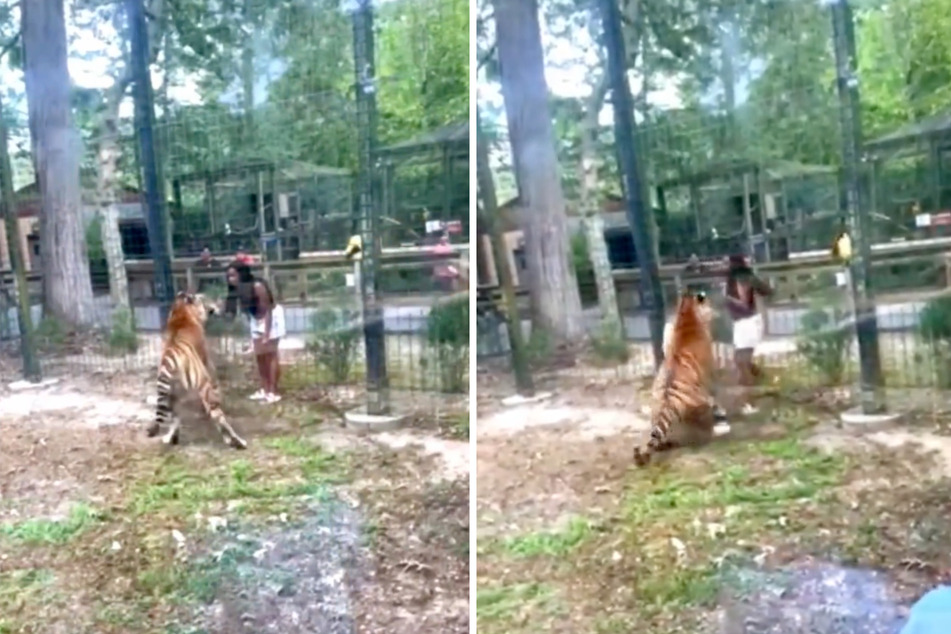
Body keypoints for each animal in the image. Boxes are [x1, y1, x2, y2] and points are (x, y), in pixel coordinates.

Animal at [144, 288, 249, 446]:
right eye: (203, 298)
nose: (217, 305)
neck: (181, 310)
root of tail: (170, 359)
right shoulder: (206, 360)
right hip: (203, 388)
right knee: (218, 417)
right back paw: (238, 441)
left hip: (171, 394)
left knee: (175, 418)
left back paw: (171, 438)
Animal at [636, 290, 732, 464]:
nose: (716, 311)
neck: (687, 316)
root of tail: (668, 400)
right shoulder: (710, 372)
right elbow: (716, 393)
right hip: (699, 407)